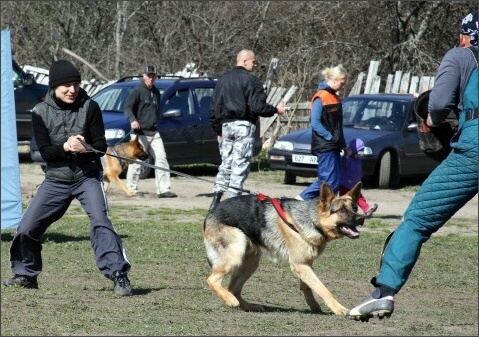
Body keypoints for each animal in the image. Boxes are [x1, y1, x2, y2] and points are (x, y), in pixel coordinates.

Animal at [202, 180, 364, 314]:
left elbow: (307, 286)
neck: (312, 220)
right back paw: (230, 300)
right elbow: (322, 288)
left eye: (354, 208)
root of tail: (211, 212)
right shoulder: (300, 265)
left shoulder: (305, 264)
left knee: (233, 288)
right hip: (236, 253)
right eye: (341, 210)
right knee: (212, 280)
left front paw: (313, 304)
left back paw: (249, 306)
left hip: (251, 262)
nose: (361, 218)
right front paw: (339, 308)